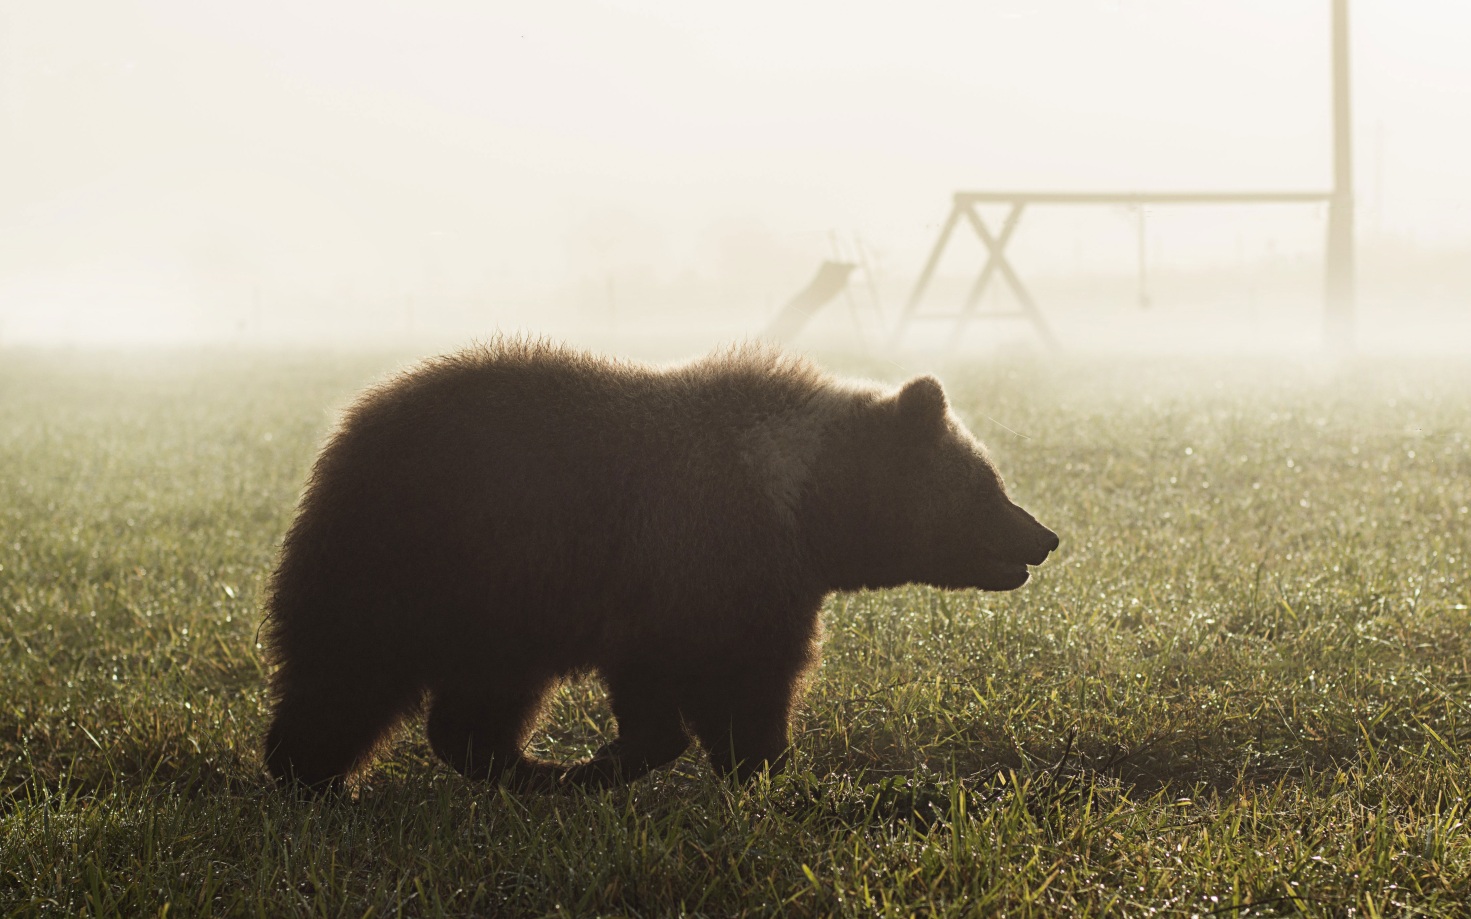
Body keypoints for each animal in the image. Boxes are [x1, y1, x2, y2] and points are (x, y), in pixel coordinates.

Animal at [262, 339, 1058, 791]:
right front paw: (767, 767)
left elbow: (657, 690)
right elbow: (743, 682)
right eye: (987, 482)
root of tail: (349, 432)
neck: (806, 506)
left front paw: (620, 757)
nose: (1043, 535)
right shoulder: (715, 560)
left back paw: (521, 770)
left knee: (456, 701)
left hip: (486, 598)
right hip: (434, 561)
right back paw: (314, 777)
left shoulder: (658, 591)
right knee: (349, 675)